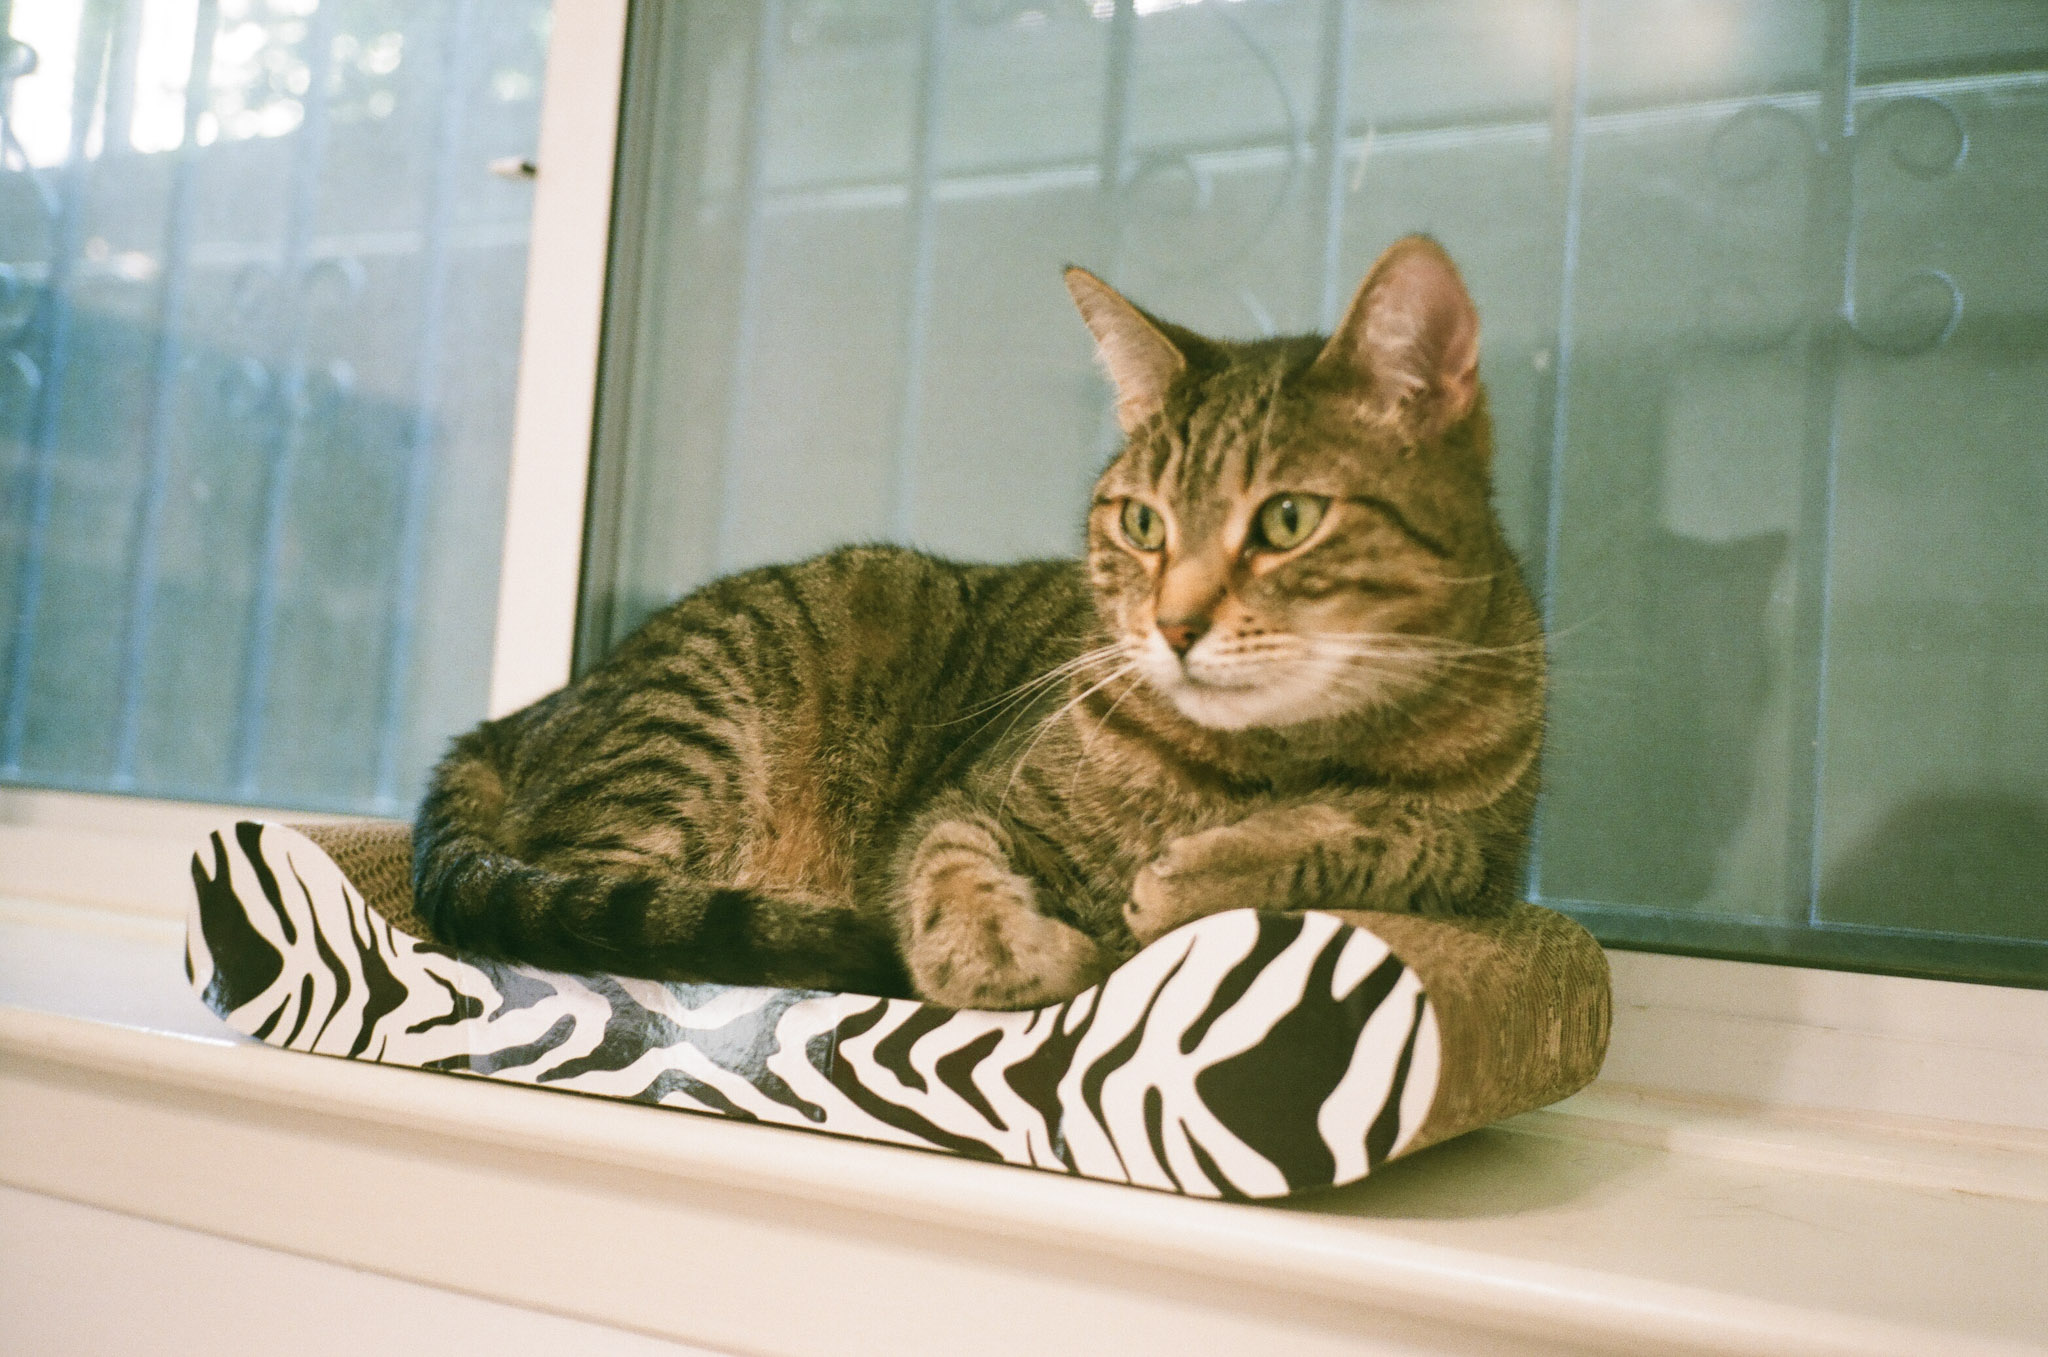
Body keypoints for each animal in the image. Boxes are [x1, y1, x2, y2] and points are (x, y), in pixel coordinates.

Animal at [411, 238, 1540, 1015]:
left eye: (1287, 519)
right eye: (1142, 523)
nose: (1173, 626)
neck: (1271, 755)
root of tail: (527, 711)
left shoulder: (1485, 869)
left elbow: (1397, 837)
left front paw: (1207, 869)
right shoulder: (972, 795)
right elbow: (949, 861)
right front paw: (997, 949)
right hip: (688, 747)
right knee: (611, 909)